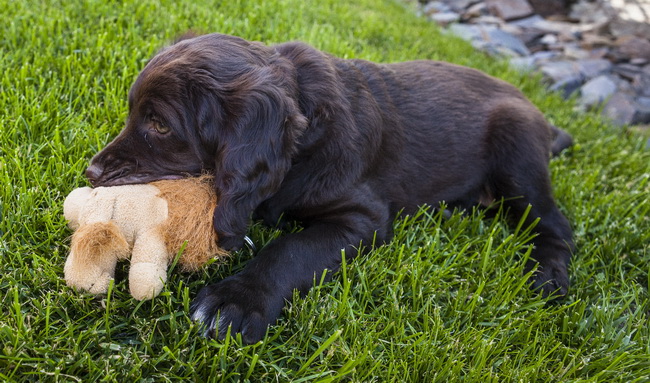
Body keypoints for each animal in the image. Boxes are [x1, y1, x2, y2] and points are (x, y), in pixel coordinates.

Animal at [85, 33, 572, 344]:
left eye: (160, 125)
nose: (91, 172)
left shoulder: (364, 216)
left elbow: (291, 248)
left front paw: (236, 302)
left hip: (517, 154)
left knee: (554, 223)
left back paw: (548, 275)